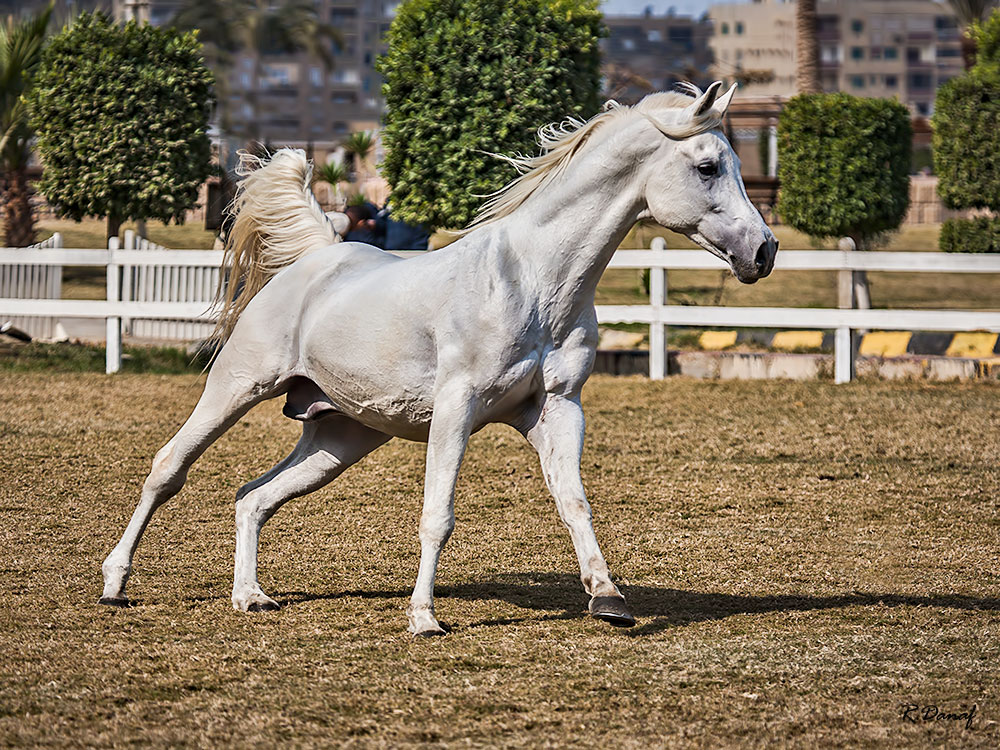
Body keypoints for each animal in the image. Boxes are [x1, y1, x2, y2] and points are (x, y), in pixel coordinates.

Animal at [99, 81, 772, 636]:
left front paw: (608, 599)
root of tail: (316, 255)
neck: (532, 281)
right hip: (235, 389)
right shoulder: (457, 408)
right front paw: (424, 617)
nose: (763, 251)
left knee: (253, 496)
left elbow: (573, 501)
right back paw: (115, 584)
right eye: (708, 166)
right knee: (168, 469)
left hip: (339, 437)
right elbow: (438, 514)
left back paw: (251, 596)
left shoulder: (557, 409)